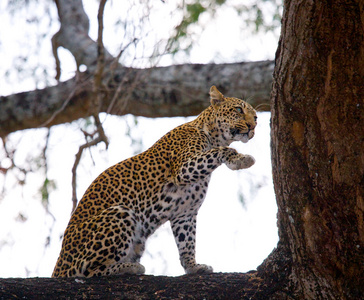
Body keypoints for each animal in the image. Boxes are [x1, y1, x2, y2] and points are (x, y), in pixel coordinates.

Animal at [52, 85, 256, 278]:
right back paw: (129, 267)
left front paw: (193, 267)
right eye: (239, 109)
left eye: (255, 117)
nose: (253, 126)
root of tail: (59, 264)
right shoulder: (184, 168)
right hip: (120, 212)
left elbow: (187, 242)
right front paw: (240, 159)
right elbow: (219, 151)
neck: (212, 136)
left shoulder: (185, 212)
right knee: (88, 270)